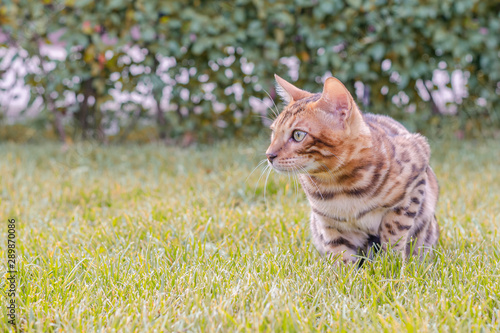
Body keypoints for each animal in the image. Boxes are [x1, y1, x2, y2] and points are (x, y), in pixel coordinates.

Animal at [266, 74, 438, 264]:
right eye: (273, 132)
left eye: (298, 135)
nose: (269, 155)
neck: (339, 186)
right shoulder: (330, 223)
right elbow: (340, 255)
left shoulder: (417, 174)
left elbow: (394, 229)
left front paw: (392, 264)